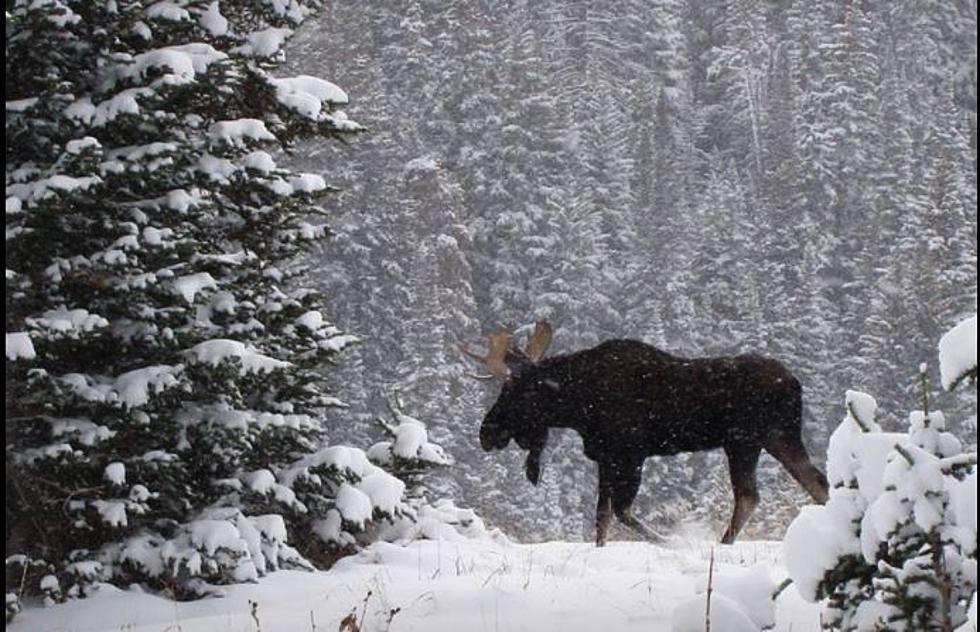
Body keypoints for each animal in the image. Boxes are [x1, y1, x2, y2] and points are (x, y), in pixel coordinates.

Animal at [466, 324, 828, 544]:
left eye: (513, 391)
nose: (486, 432)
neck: (578, 404)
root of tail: (795, 382)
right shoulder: (605, 457)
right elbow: (602, 517)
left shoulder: (630, 453)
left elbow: (622, 511)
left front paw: (673, 541)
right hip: (772, 438)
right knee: (812, 482)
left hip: (746, 440)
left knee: (751, 495)